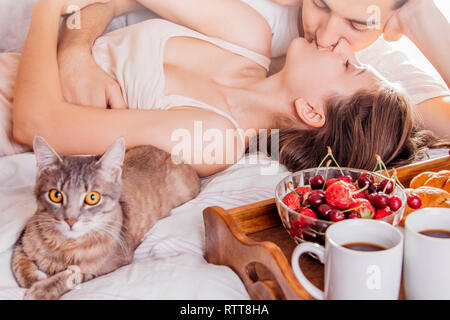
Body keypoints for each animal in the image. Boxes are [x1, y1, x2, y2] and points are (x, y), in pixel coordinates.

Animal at [11, 136, 200, 300]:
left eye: (92, 197)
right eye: (56, 195)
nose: (70, 220)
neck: (65, 245)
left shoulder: (114, 262)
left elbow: (77, 272)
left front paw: (43, 289)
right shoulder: (24, 235)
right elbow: (18, 261)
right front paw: (32, 278)